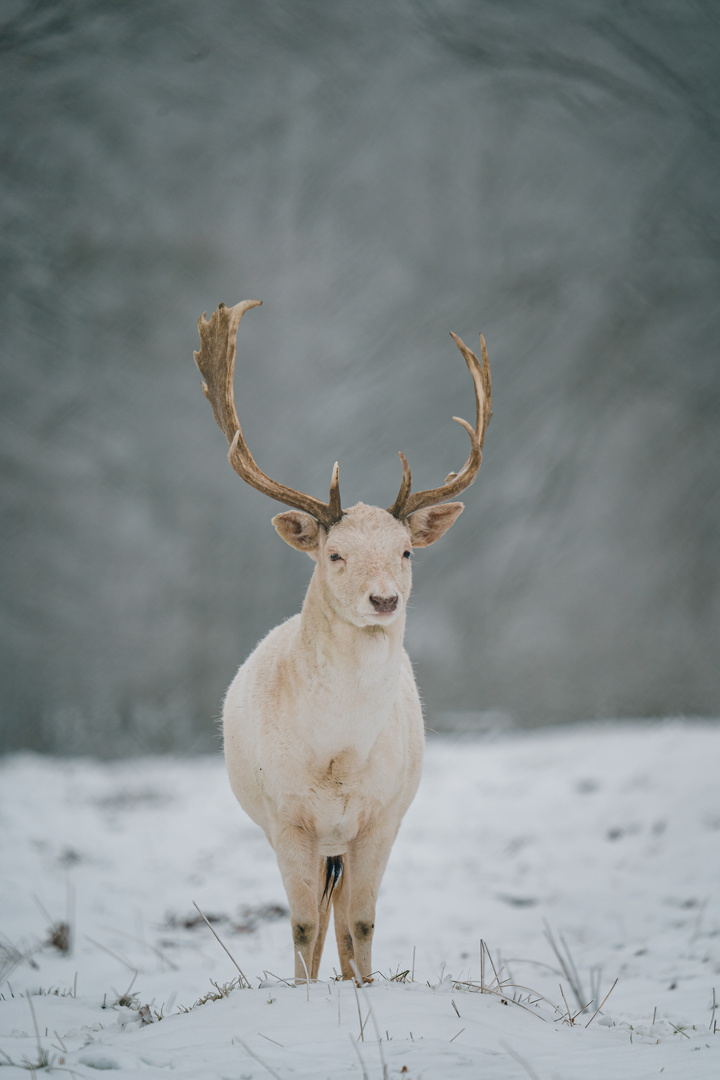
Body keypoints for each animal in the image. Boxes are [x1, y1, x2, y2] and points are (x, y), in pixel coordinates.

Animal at [194, 300, 492, 984]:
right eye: (335, 554)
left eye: (406, 551)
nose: (384, 601)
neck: (337, 757)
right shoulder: (286, 816)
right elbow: (303, 926)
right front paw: (304, 993)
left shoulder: (381, 818)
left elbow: (363, 923)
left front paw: (366, 990)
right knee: (318, 917)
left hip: (350, 839)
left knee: (345, 918)